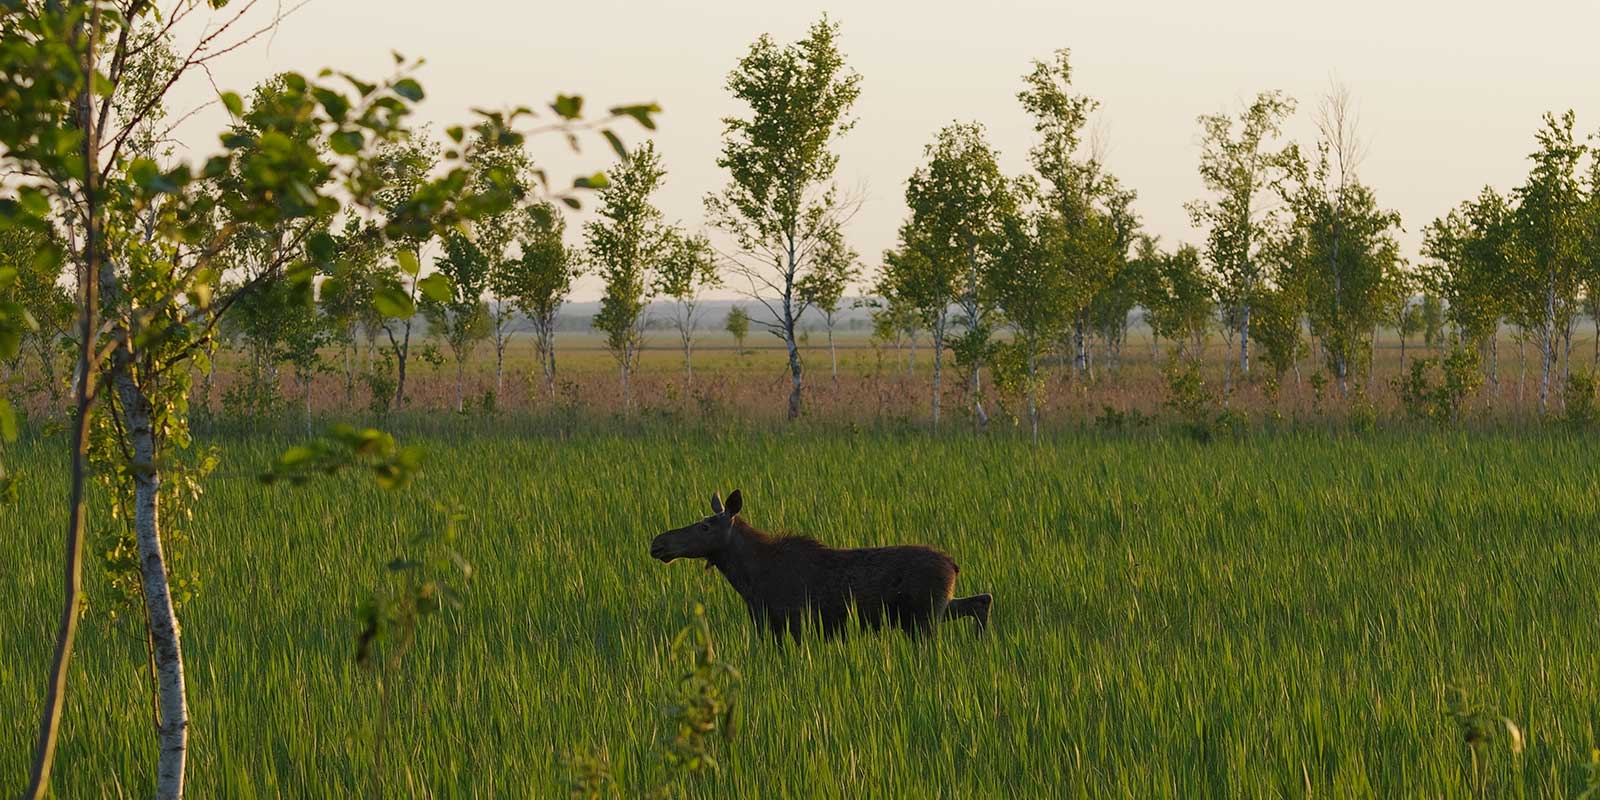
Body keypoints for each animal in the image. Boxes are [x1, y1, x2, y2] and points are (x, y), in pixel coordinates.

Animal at [649, 489, 992, 641]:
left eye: (705, 526)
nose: (658, 543)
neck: (748, 580)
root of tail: (954, 565)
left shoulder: (795, 620)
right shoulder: (768, 624)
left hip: (923, 618)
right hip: (936, 608)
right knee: (981, 599)